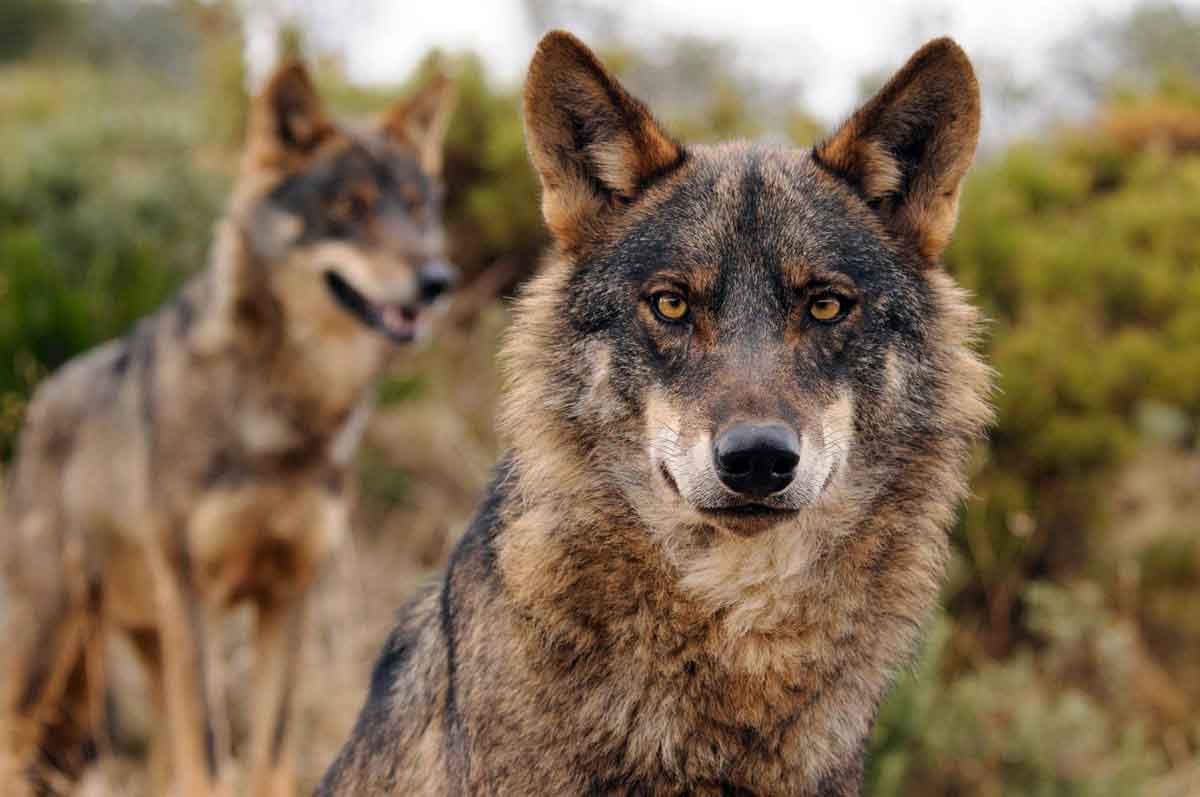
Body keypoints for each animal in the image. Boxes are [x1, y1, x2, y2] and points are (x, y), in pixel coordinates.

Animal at [0, 59, 456, 792]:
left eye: (416, 208)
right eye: (349, 208)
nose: (437, 280)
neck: (286, 416)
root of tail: (41, 397)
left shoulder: (288, 595)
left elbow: (269, 750)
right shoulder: (195, 596)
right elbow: (211, 752)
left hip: (144, 647)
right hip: (52, 645)